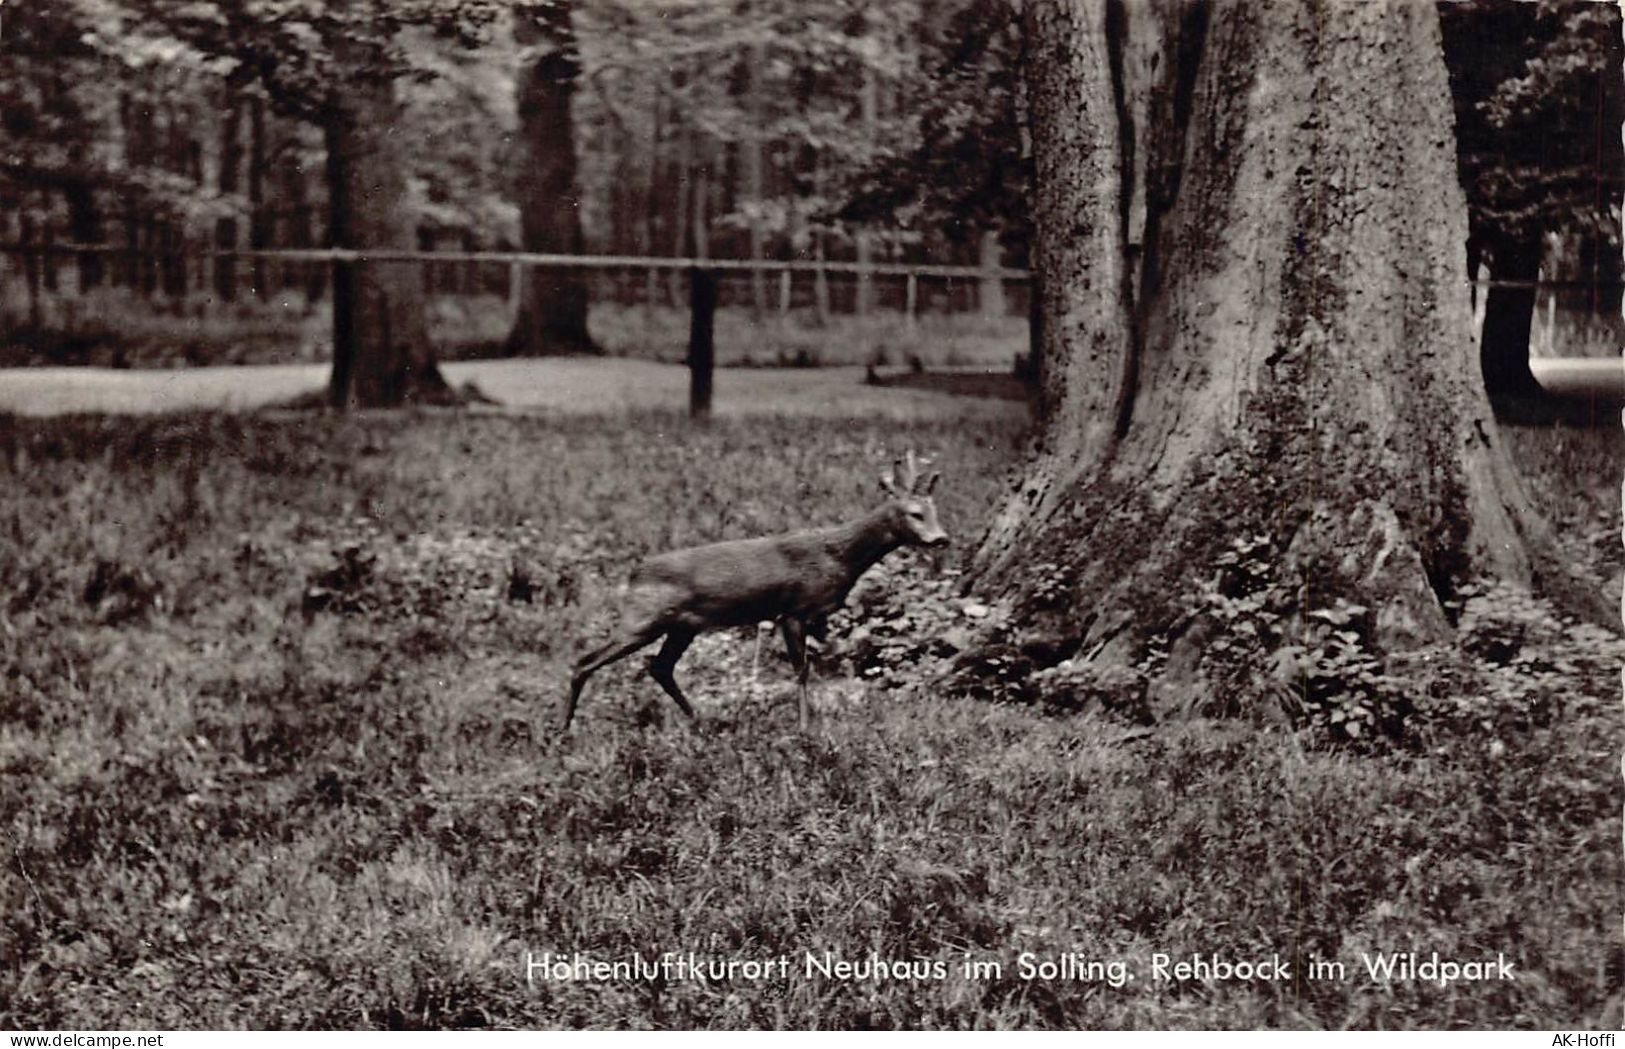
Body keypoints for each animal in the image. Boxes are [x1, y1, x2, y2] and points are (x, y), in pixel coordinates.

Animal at [568, 451, 949, 730]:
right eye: (914, 513)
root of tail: (634, 574)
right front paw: (805, 729)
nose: (941, 538)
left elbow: (836, 655)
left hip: (683, 626)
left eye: (934, 511)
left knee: (660, 668)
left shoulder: (819, 616)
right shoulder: (793, 610)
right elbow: (802, 670)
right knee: (584, 661)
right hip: (643, 619)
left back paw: (700, 722)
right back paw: (564, 731)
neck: (839, 555)